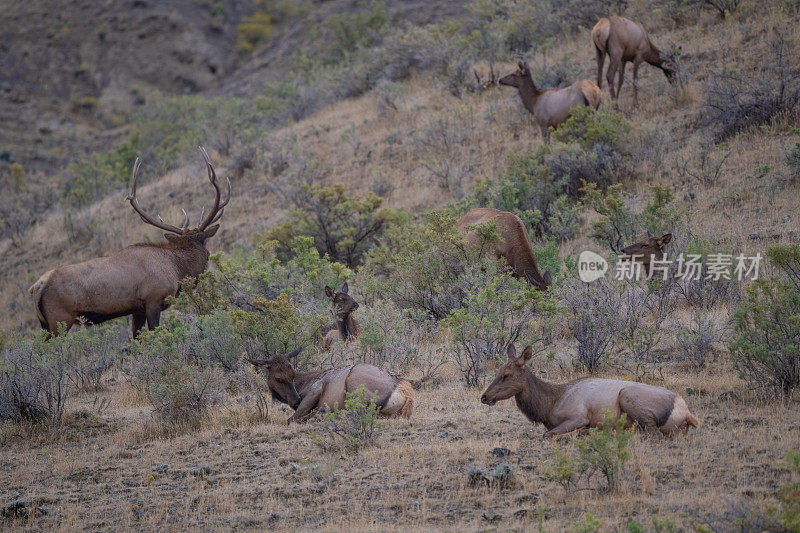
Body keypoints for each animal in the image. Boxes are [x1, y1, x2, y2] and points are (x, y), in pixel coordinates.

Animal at [29, 148, 230, 334]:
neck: (177, 270)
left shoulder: (137, 309)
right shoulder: (153, 299)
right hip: (59, 319)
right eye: (204, 241)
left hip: (45, 324)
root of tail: (36, 287)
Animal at [248, 348, 412, 422]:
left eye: (292, 374)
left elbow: (291, 419)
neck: (302, 384)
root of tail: (408, 396)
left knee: (356, 411)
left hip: (354, 382)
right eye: (278, 378)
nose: (296, 401)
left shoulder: (317, 388)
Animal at [478, 344, 696, 436]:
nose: (484, 397)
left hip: (627, 395)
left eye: (506, 374)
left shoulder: (578, 416)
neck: (548, 405)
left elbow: (547, 435)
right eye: (497, 371)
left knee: (651, 432)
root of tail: (686, 413)